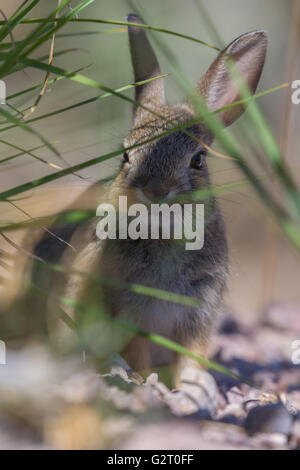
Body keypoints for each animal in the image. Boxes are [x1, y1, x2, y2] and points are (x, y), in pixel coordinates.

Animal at [22, 13, 268, 386]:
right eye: (126, 155)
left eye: (198, 160)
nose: (154, 191)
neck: (163, 234)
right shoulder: (127, 309)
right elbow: (135, 350)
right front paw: (146, 381)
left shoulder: (199, 311)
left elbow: (192, 354)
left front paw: (191, 384)